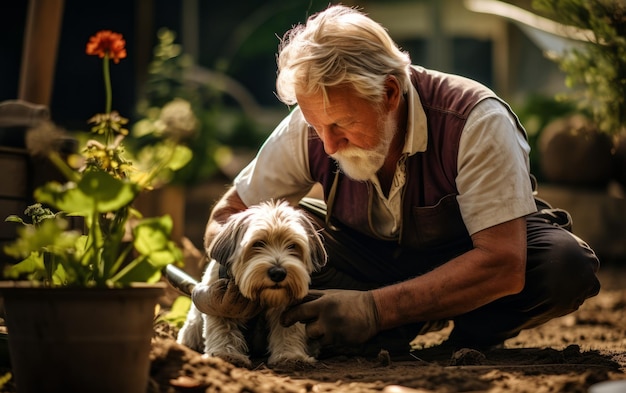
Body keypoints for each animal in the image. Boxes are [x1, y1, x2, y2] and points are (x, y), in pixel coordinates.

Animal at [173, 199, 324, 368]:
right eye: (258, 243)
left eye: (292, 245)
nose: (278, 273)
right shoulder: (220, 303)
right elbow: (223, 328)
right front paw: (226, 355)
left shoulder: (287, 307)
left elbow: (288, 330)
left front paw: (290, 355)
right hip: (194, 324)